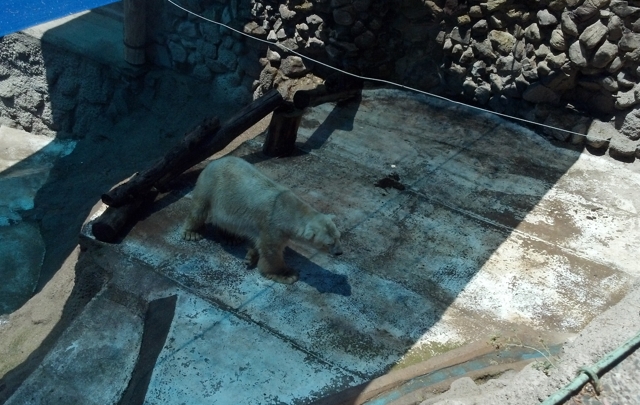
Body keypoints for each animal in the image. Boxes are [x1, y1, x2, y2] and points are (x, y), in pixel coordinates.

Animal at [182, 156, 342, 284]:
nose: (339, 253)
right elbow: (271, 252)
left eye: (339, 237)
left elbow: (258, 244)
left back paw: (231, 238)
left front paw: (251, 257)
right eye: (329, 243)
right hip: (210, 185)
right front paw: (286, 274)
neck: (288, 208)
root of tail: (216, 160)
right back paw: (192, 233)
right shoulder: (273, 227)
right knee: (199, 208)